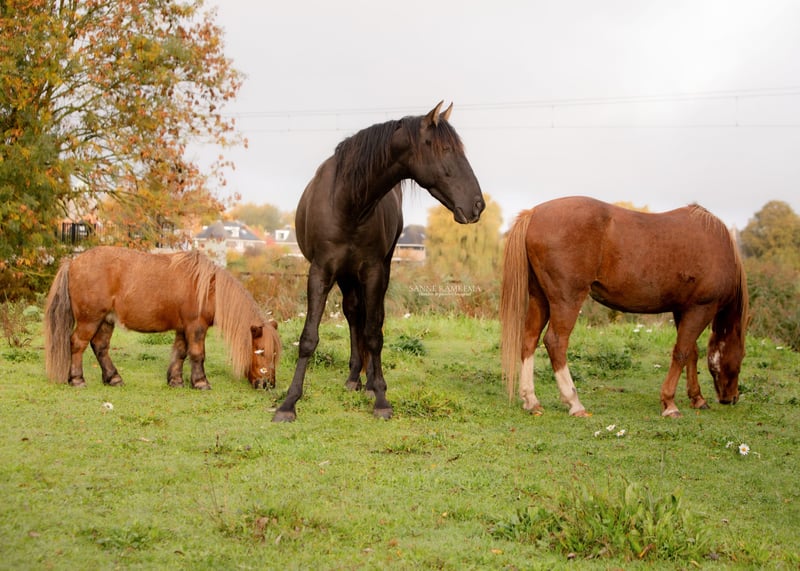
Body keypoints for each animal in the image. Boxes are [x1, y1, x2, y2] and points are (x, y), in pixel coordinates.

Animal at [44, 246, 281, 390]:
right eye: (261, 351)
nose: (267, 384)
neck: (208, 289)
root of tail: (73, 262)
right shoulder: (196, 327)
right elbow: (197, 354)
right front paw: (201, 382)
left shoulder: (183, 328)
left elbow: (180, 353)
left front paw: (175, 380)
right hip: (90, 319)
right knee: (77, 344)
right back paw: (77, 379)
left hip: (106, 320)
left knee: (100, 347)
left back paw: (113, 378)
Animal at [273, 101, 485, 422]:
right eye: (446, 149)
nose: (477, 205)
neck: (349, 202)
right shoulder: (320, 271)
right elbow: (309, 337)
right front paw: (288, 403)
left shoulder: (372, 271)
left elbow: (374, 333)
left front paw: (381, 398)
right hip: (346, 276)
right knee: (353, 314)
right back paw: (353, 378)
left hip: (375, 271)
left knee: (372, 320)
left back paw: (369, 382)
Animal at [500, 196, 749, 418]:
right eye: (741, 357)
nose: (731, 398)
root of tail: (533, 214)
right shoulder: (700, 309)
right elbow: (681, 353)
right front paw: (669, 404)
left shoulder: (683, 310)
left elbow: (692, 353)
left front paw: (697, 398)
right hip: (566, 300)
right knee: (556, 343)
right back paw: (574, 403)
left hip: (540, 298)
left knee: (529, 340)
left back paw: (531, 400)